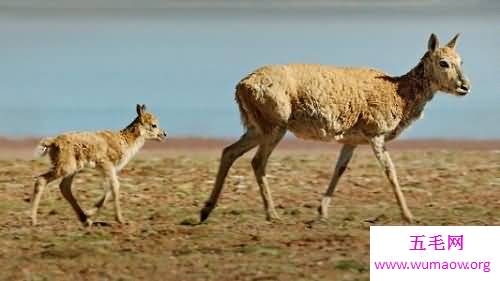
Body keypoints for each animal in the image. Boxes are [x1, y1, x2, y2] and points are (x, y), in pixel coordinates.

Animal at [30, 104, 167, 225]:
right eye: (154, 125)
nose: (164, 134)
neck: (124, 141)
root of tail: (53, 142)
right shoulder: (106, 165)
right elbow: (115, 186)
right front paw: (120, 220)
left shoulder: (108, 169)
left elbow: (109, 188)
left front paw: (90, 214)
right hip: (65, 167)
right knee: (41, 180)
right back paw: (33, 220)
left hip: (72, 169)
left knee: (65, 187)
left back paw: (84, 219)